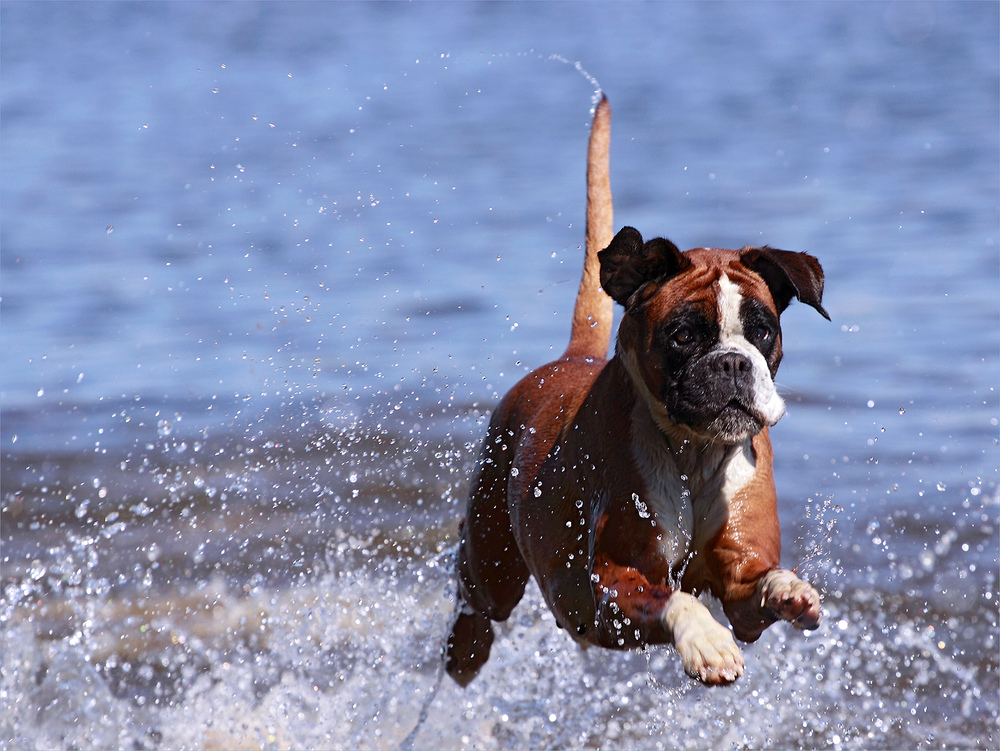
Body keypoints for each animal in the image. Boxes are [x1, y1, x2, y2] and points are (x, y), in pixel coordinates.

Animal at [446, 95, 828, 688]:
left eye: (762, 330)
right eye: (683, 335)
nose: (733, 363)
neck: (693, 455)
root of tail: (572, 357)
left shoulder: (741, 586)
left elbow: (761, 584)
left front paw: (792, 590)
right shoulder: (613, 584)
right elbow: (675, 600)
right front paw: (706, 643)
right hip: (494, 564)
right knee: (474, 595)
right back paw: (465, 649)